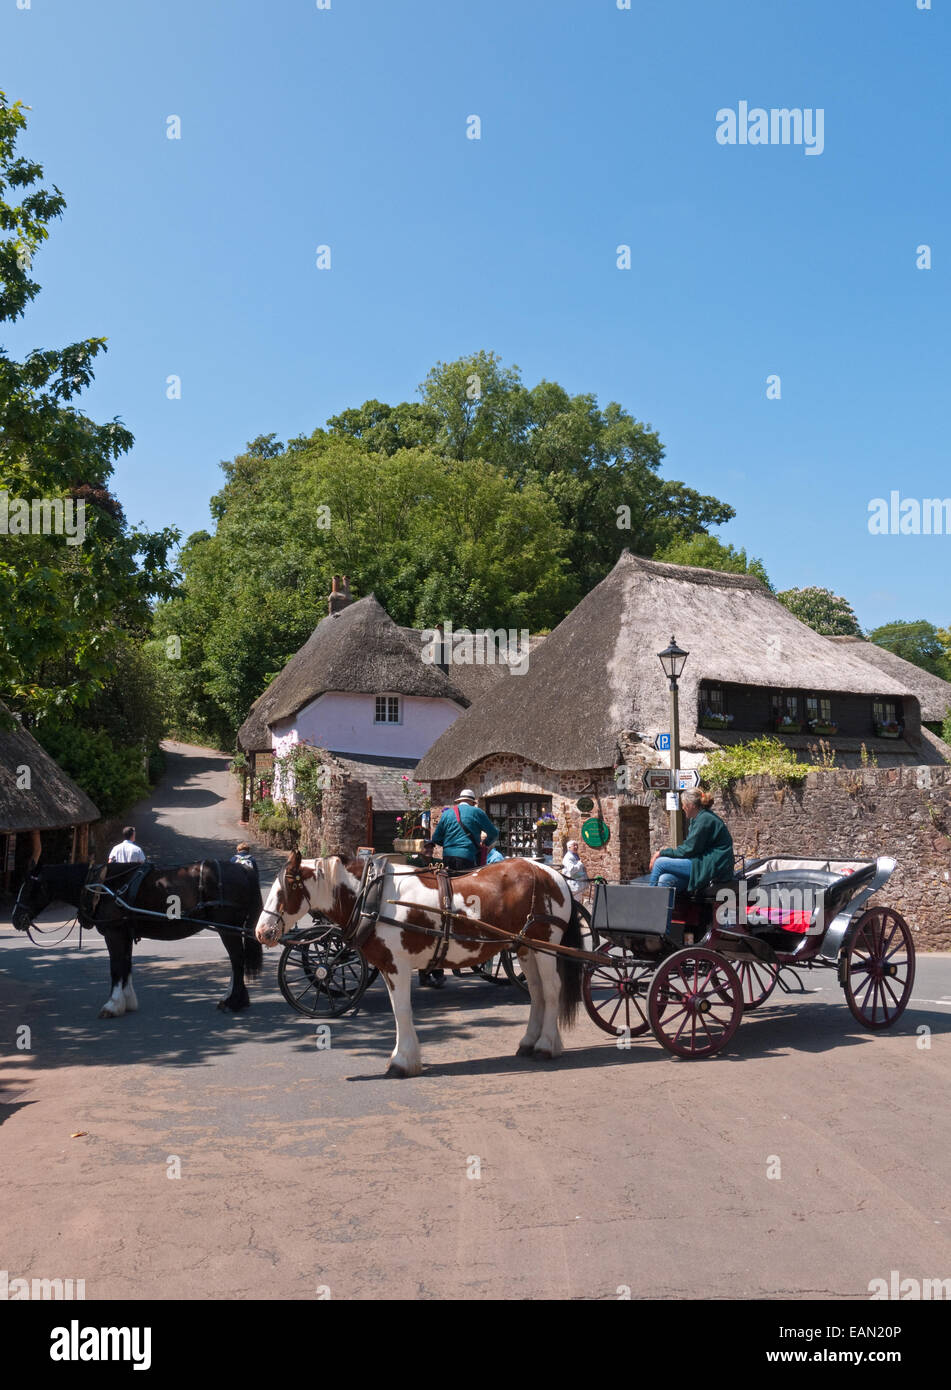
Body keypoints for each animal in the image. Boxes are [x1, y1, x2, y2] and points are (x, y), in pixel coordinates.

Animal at [14, 856, 265, 1023]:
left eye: (28, 888)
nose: (16, 919)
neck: (103, 886)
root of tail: (243, 869)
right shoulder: (125, 934)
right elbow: (126, 966)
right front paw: (127, 1001)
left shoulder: (114, 933)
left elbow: (116, 968)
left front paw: (112, 1005)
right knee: (236, 961)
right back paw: (233, 998)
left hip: (227, 929)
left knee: (237, 961)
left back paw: (235, 1001)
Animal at [255, 845, 589, 1073]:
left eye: (285, 889)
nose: (262, 931)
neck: (374, 897)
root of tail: (552, 874)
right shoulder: (388, 967)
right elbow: (396, 1010)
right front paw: (403, 1057)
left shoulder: (397, 966)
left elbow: (403, 1010)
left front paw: (402, 1062)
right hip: (525, 949)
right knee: (537, 994)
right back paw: (530, 1042)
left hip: (545, 947)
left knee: (551, 991)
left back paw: (546, 1045)